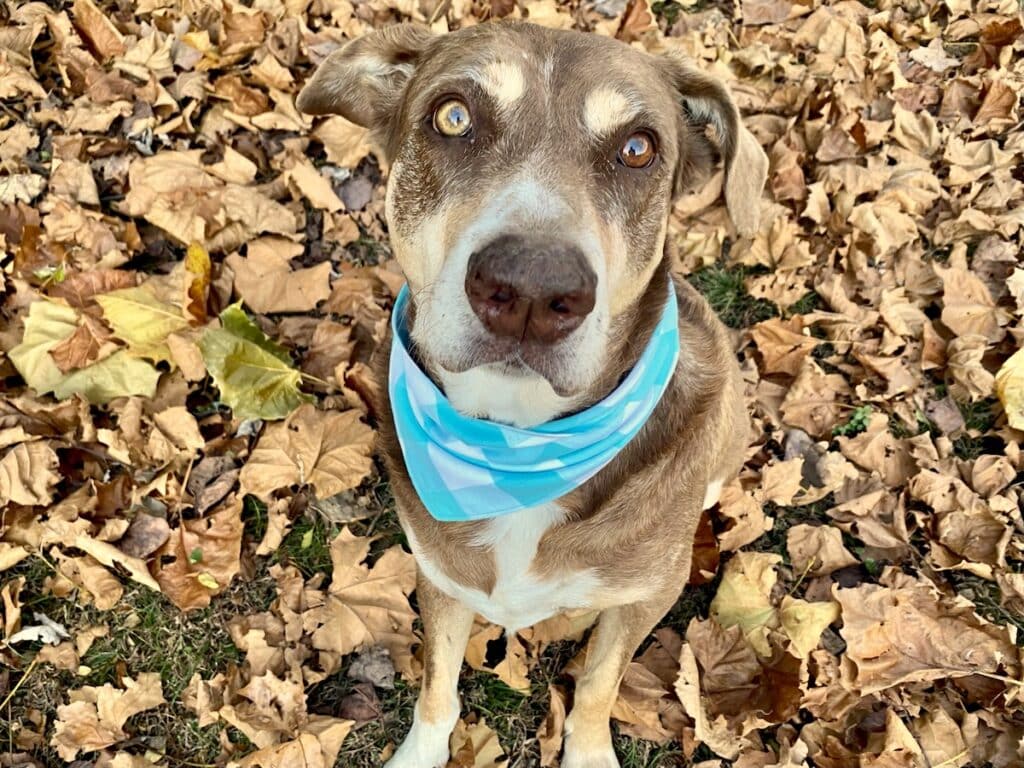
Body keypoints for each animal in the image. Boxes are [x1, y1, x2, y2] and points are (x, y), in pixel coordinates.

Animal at [299, 22, 765, 768]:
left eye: (638, 149)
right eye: (453, 117)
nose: (531, 288)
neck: (518, 442)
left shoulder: (643, 597)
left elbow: (599, 686)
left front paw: (589, 751)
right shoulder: (441, 577)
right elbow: (438, 685)